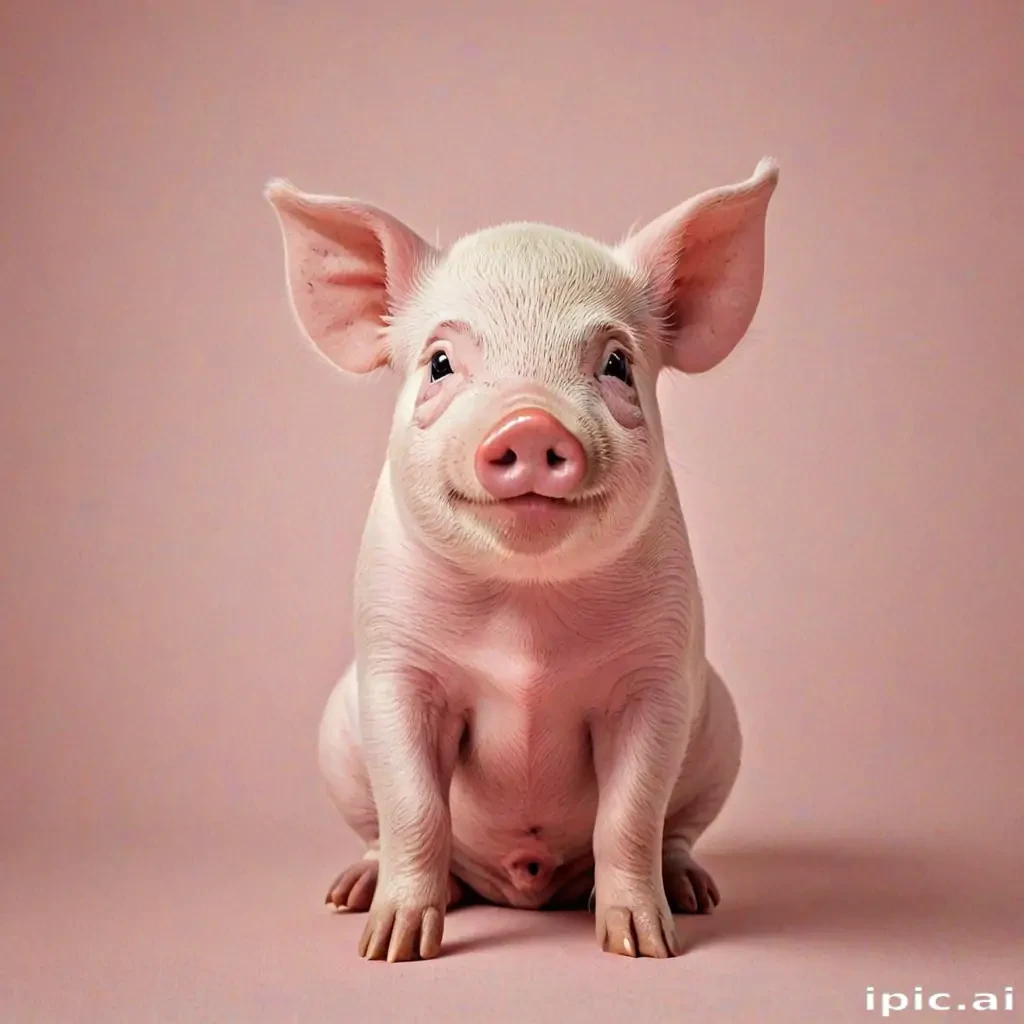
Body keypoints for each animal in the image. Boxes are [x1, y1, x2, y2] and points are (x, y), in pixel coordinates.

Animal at [265, 158, 779, 962]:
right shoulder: (394, 670)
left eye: (617, 364)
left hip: (720, 731)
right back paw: (351, 894)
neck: (525, 618)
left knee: (676, 832)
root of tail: (526, 884)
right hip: (337, 739)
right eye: (441, 363)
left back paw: (696, 894)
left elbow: (631, 814)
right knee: (379, 831)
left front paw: (644, 947)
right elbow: (413, 806)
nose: (531, 421)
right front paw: (392, 948)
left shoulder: (657, 681)